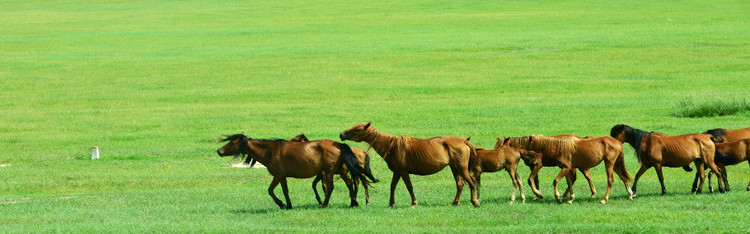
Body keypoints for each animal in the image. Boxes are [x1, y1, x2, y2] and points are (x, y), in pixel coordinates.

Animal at [220, 133, 378, 208]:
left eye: (232, 142)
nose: (219, 151)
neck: (270, 151)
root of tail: (339, 144)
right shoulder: (282, 177)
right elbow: (285, 191)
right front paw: (288, 205)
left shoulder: (277, 175)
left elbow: (270, 190)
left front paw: (282, 204)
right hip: (340, 171)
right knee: (350, 184)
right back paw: (353, 203)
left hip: (329, 172)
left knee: (331, 187)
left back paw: (325, 204)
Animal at [340, 121, 482, 207]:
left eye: (356, 130)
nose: (341, 134)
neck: (392, 146)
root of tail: (464, 141)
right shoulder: (397, 172)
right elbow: (392, 187)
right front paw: (391, 204)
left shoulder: (403, 172)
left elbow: (409, 187)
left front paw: (414, 203)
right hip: (455, 168)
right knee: (460, 184)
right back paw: (455, 202)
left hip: (461, 168)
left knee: (471, 182)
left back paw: (475, 202)